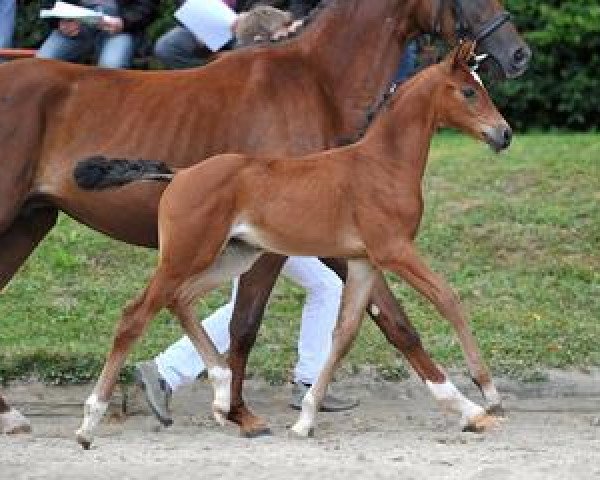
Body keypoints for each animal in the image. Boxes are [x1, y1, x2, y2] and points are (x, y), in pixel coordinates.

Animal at [0, 0, 528, 436]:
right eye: (468, 91)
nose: (518, 55)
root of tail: (178, 173)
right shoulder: (368, 248)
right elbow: (247, 324)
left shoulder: (351, 252)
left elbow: (383, 325)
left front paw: (466, 406)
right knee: (141, 311)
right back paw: (87, 419)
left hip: (40, 223)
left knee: (172, 300)